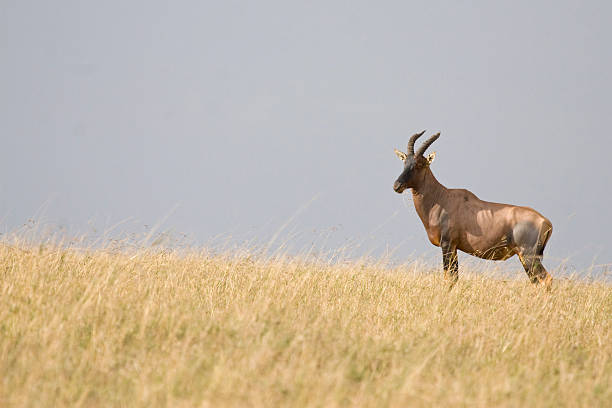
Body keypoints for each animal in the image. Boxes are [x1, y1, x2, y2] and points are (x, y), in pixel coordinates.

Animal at [394, 131, 552, 286]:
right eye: (405, 162)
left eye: (420, 164)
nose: (397, 185)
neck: (441, 198)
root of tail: (546, 222)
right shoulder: (454, 247)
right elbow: (454, 277)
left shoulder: (447, 244)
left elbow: (448, 278)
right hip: (524, 257)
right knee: (536, 281)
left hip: (529, 255)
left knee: (546, 278)